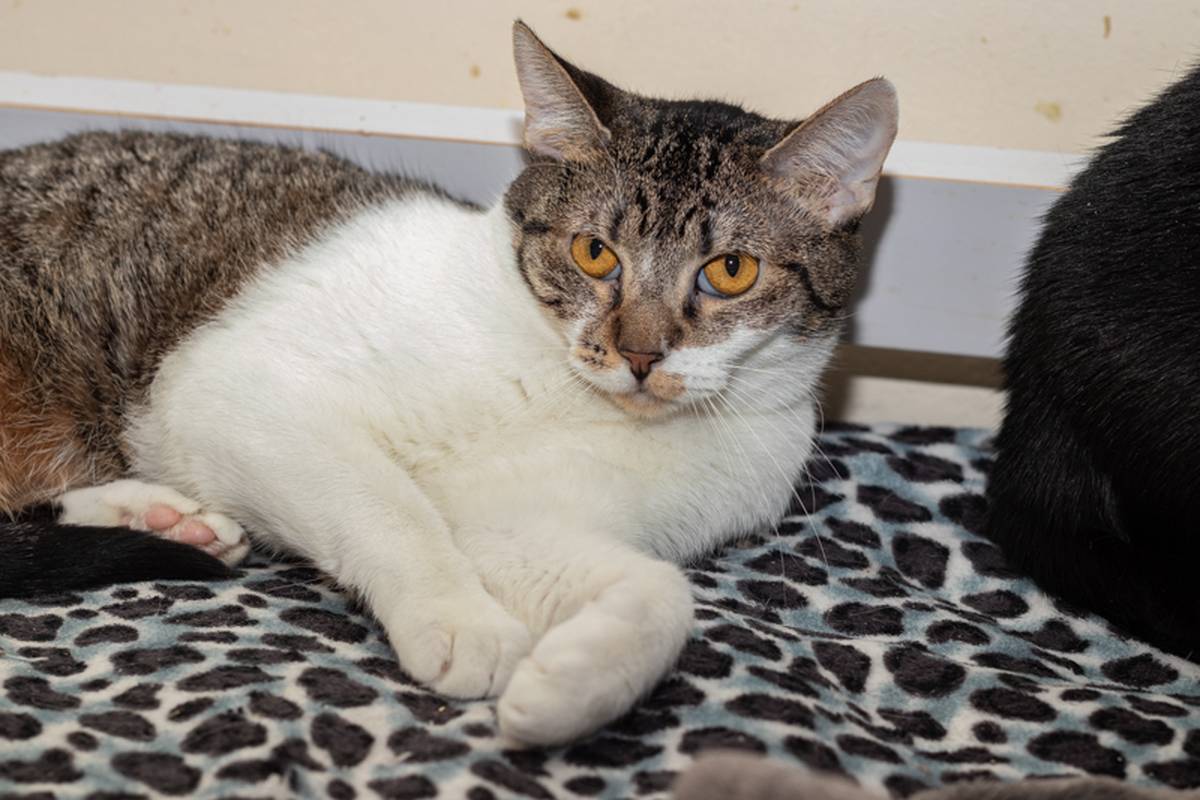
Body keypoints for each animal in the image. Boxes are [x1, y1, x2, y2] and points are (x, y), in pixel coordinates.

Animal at [0, 21, 898, 743]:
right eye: (594, 254)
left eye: (731, 271)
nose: (640, 353)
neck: (567, 392)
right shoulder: (237, 392)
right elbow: (390, 506)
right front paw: (462, 620)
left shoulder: (515, 525)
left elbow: (663, 593)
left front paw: (564, 690)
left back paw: (158, 515)